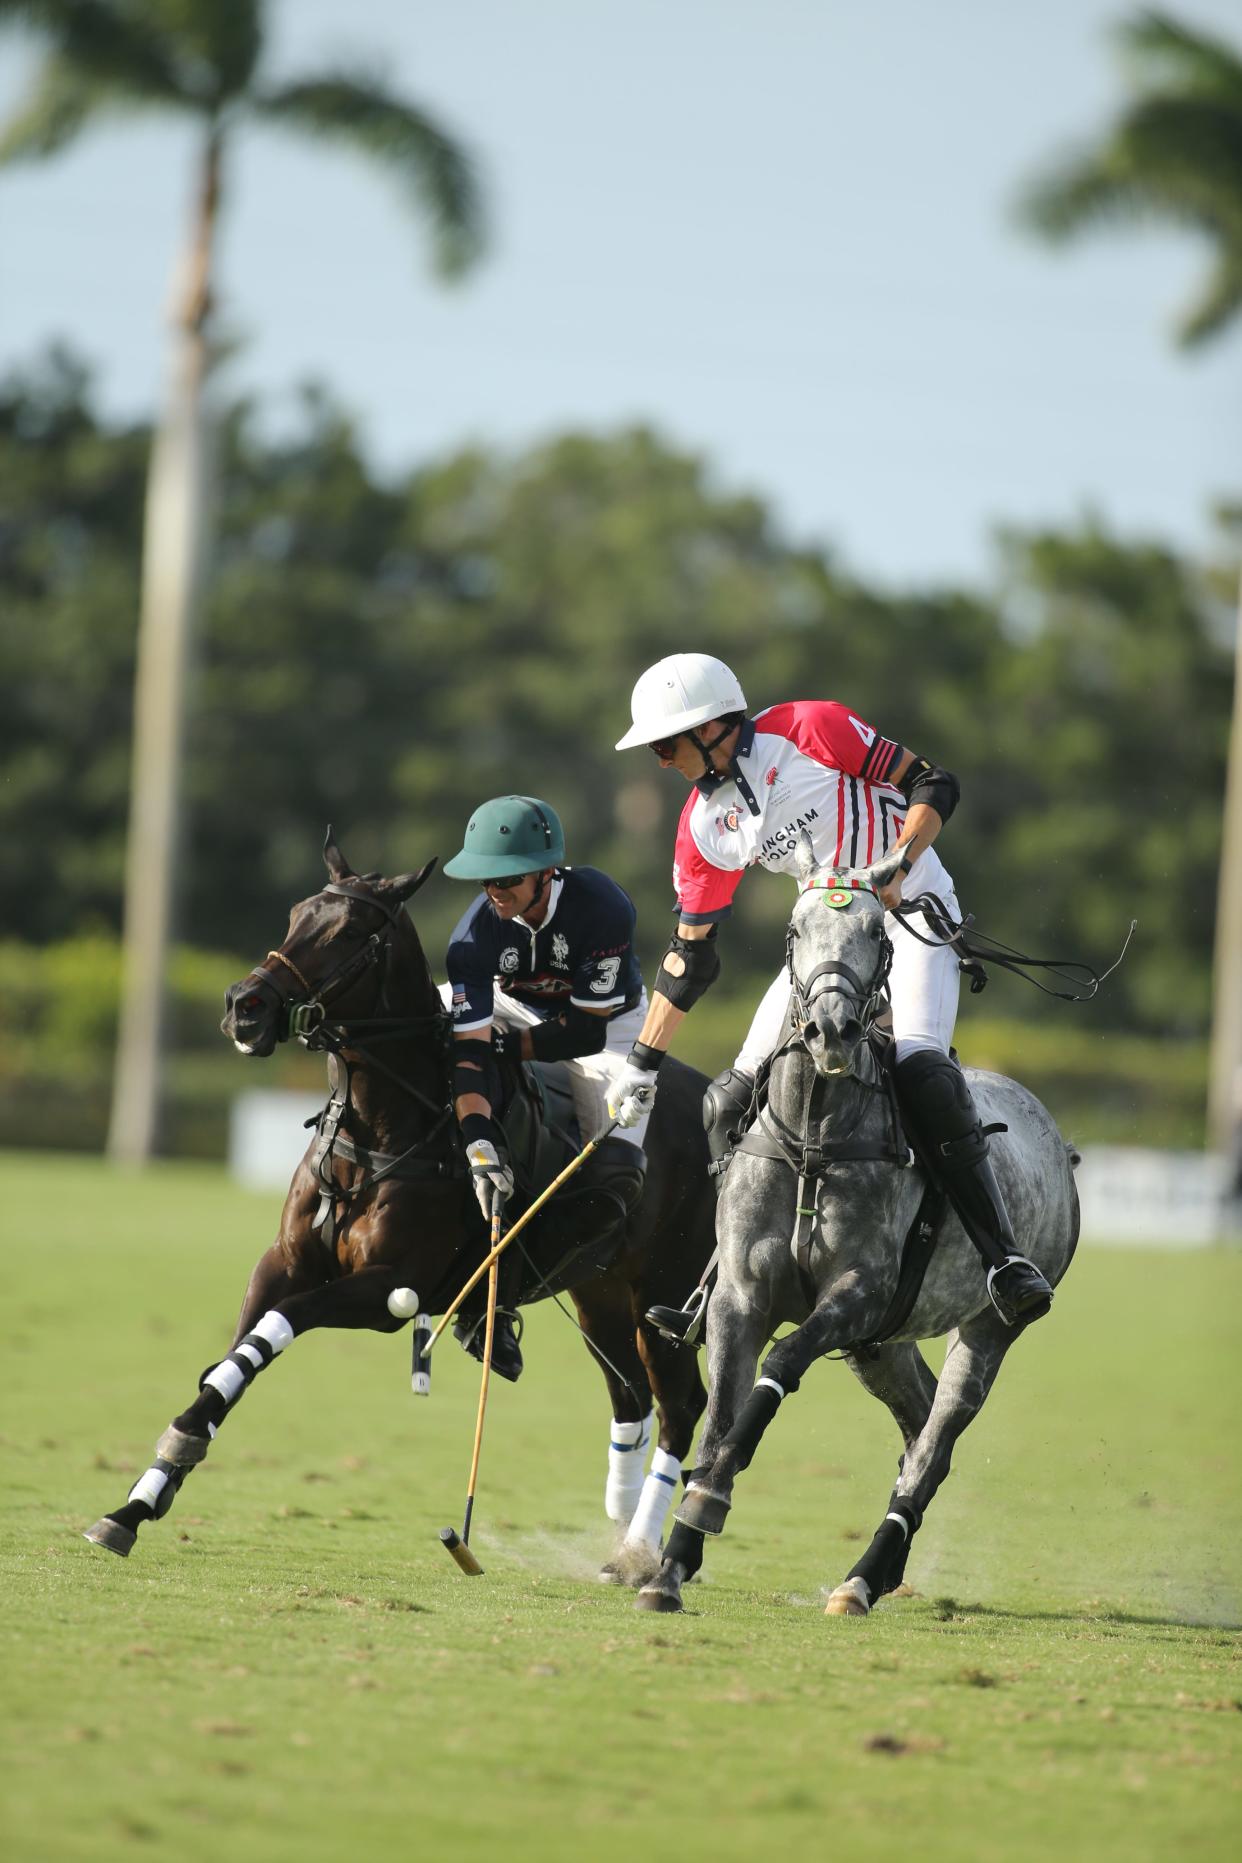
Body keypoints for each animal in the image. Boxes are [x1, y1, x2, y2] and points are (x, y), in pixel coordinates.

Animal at [85, 838, 707, 1579]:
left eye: (353, 932)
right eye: (296, 913)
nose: (244, 1007)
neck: (382, 1124)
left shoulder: (391, 1288)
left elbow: (278, 1326)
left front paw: (171, 1449)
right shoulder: (284, 1260)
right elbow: (237, 1353)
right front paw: (137, 1501)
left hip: (662, 1287)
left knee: (681, 1406)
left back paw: (644, 1556)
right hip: (599, 1293)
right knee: (630, 1397)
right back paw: (620, 1530)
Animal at [640, 842, 1080, 1617]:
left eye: (879, 932)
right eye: (793, 930)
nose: (832, 1031)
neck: (814, 1135)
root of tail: (1059, 1142)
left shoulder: (858, 1293)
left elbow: (779, 1367)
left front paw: (709, 1495)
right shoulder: (739, 1297)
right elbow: (722, 1408)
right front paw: (671, 1563)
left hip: (986, 1330)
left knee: (934, 1446)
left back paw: (861, 1578)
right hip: (882, 1346)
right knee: (917, 1425)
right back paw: (884, 1570)